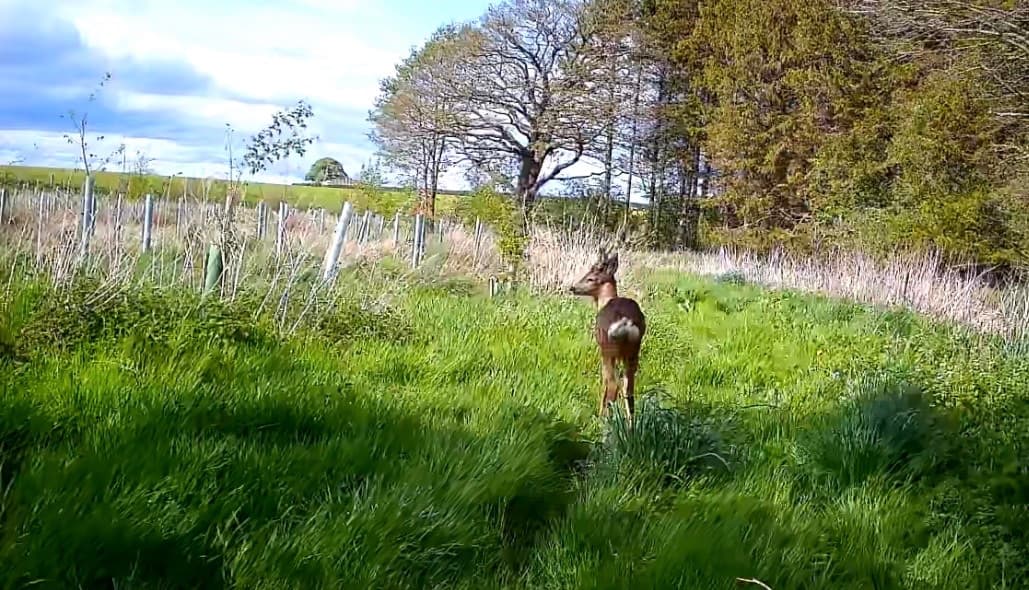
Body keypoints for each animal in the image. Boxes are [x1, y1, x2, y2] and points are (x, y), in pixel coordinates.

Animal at [569, 249, 646, 426]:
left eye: (590, 277)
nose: (573, 287)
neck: (604, 301)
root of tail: (626, 322)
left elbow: (604, 382)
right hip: (633, 350)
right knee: (628, 388)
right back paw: (630, 427)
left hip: (608, 348)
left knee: (612, 384)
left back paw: (604, 423)